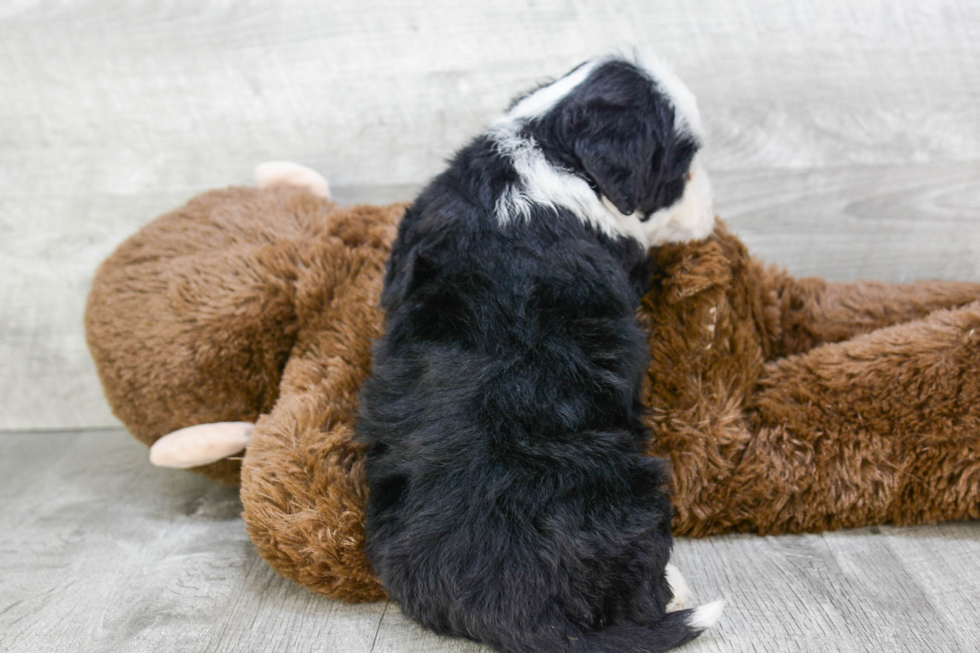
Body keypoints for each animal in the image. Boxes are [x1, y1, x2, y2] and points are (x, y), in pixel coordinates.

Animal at [358, 56, 720, 652]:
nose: (712, 207)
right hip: (637, 488)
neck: (552, 150)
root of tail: (532, 619)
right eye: (682, 165)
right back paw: (676, 589)